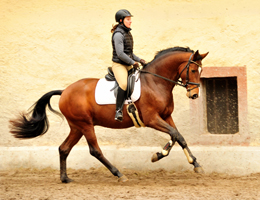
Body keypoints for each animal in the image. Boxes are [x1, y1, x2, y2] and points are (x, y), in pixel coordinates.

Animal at [9, 46, 209, 182]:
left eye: (200, 71)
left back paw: (65, 178)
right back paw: (119, 174)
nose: (194, 95)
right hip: (85, 125)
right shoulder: (152, 119)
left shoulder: (166, 116)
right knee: (95, 150)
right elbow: (175, 134)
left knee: (64, 148)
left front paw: (194, 164)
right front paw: (159, 155)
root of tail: (65, 91)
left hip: (76, 127)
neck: (155, 82)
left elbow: (179, 136)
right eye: (193, 70)